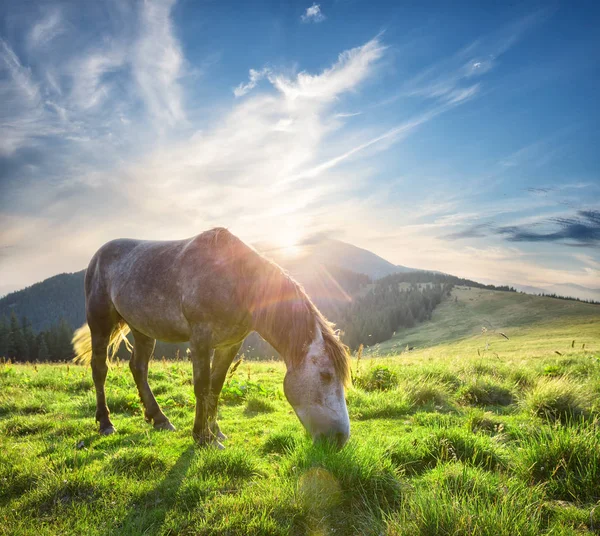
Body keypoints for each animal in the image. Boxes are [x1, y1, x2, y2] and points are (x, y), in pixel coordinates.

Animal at [71, 226, 352, 448]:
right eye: (326, 376)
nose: (340, 439)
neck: (236, 281)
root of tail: (98, 256)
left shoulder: (230, 344)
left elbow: (216, 386)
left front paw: (215, 431)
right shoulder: (200, 340)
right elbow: (202, 386)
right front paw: (202, 436)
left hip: (142, 328)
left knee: (138, 367)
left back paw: (159, 419)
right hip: (100, 323)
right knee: (99, 369)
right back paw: (106, 423)